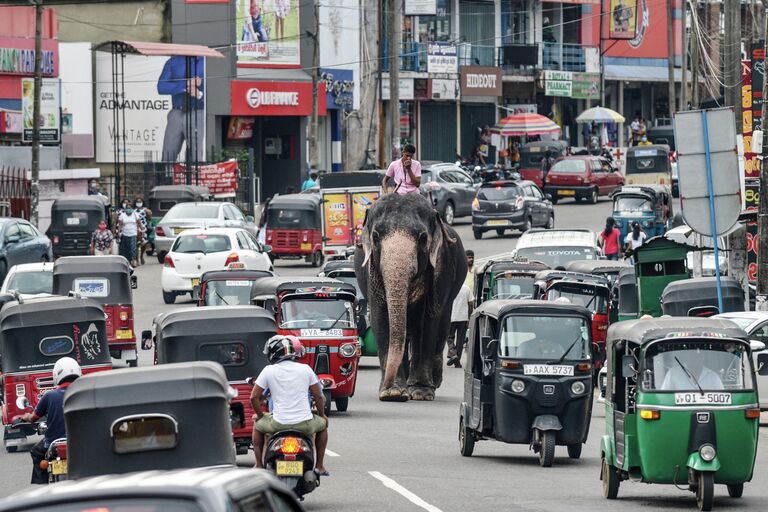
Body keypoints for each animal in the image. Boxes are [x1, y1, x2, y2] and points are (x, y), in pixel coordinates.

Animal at [354, 192, 468, 400]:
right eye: (375, 236)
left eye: (423, 238)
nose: (387, 384)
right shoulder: (372, 272)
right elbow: (380, 317)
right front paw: (393, 393)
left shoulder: (440, 267)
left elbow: (427, 322)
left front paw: (420, 392)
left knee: (441, 326)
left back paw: (432, 381)